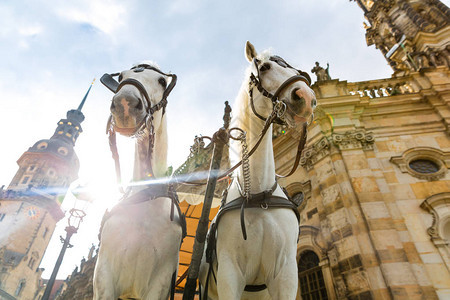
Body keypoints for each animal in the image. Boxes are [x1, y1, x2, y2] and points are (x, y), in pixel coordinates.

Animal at [200, 41, 316, 298]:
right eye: (264, 67)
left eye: (291, 65)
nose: (306, 96)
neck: (258, 195)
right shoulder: (229, 274)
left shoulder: (287, 273)